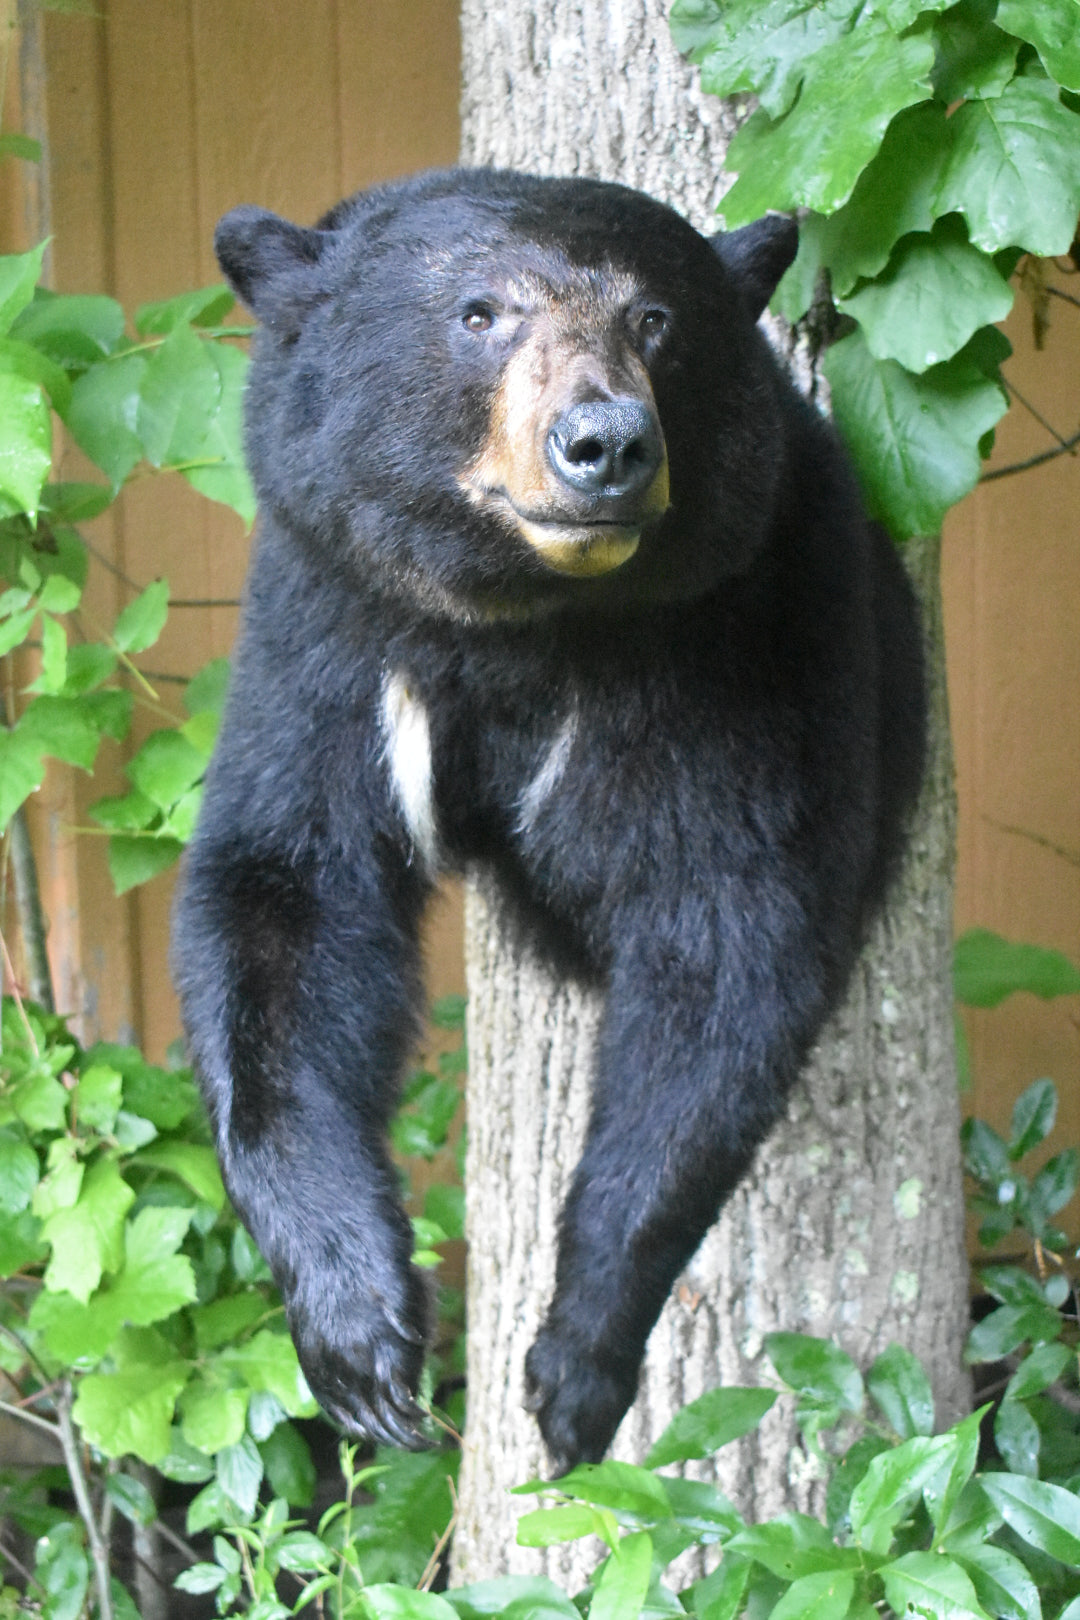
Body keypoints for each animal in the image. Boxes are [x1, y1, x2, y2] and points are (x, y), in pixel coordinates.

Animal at [173, 170, 926, 1477]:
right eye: (481, 312)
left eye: (657, 321)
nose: (607, 445)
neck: (527, 618)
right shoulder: (328, 620)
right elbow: (287, 895)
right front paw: (361, 1340)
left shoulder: (748, 638)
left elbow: (725, 935)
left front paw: (577, 1365)